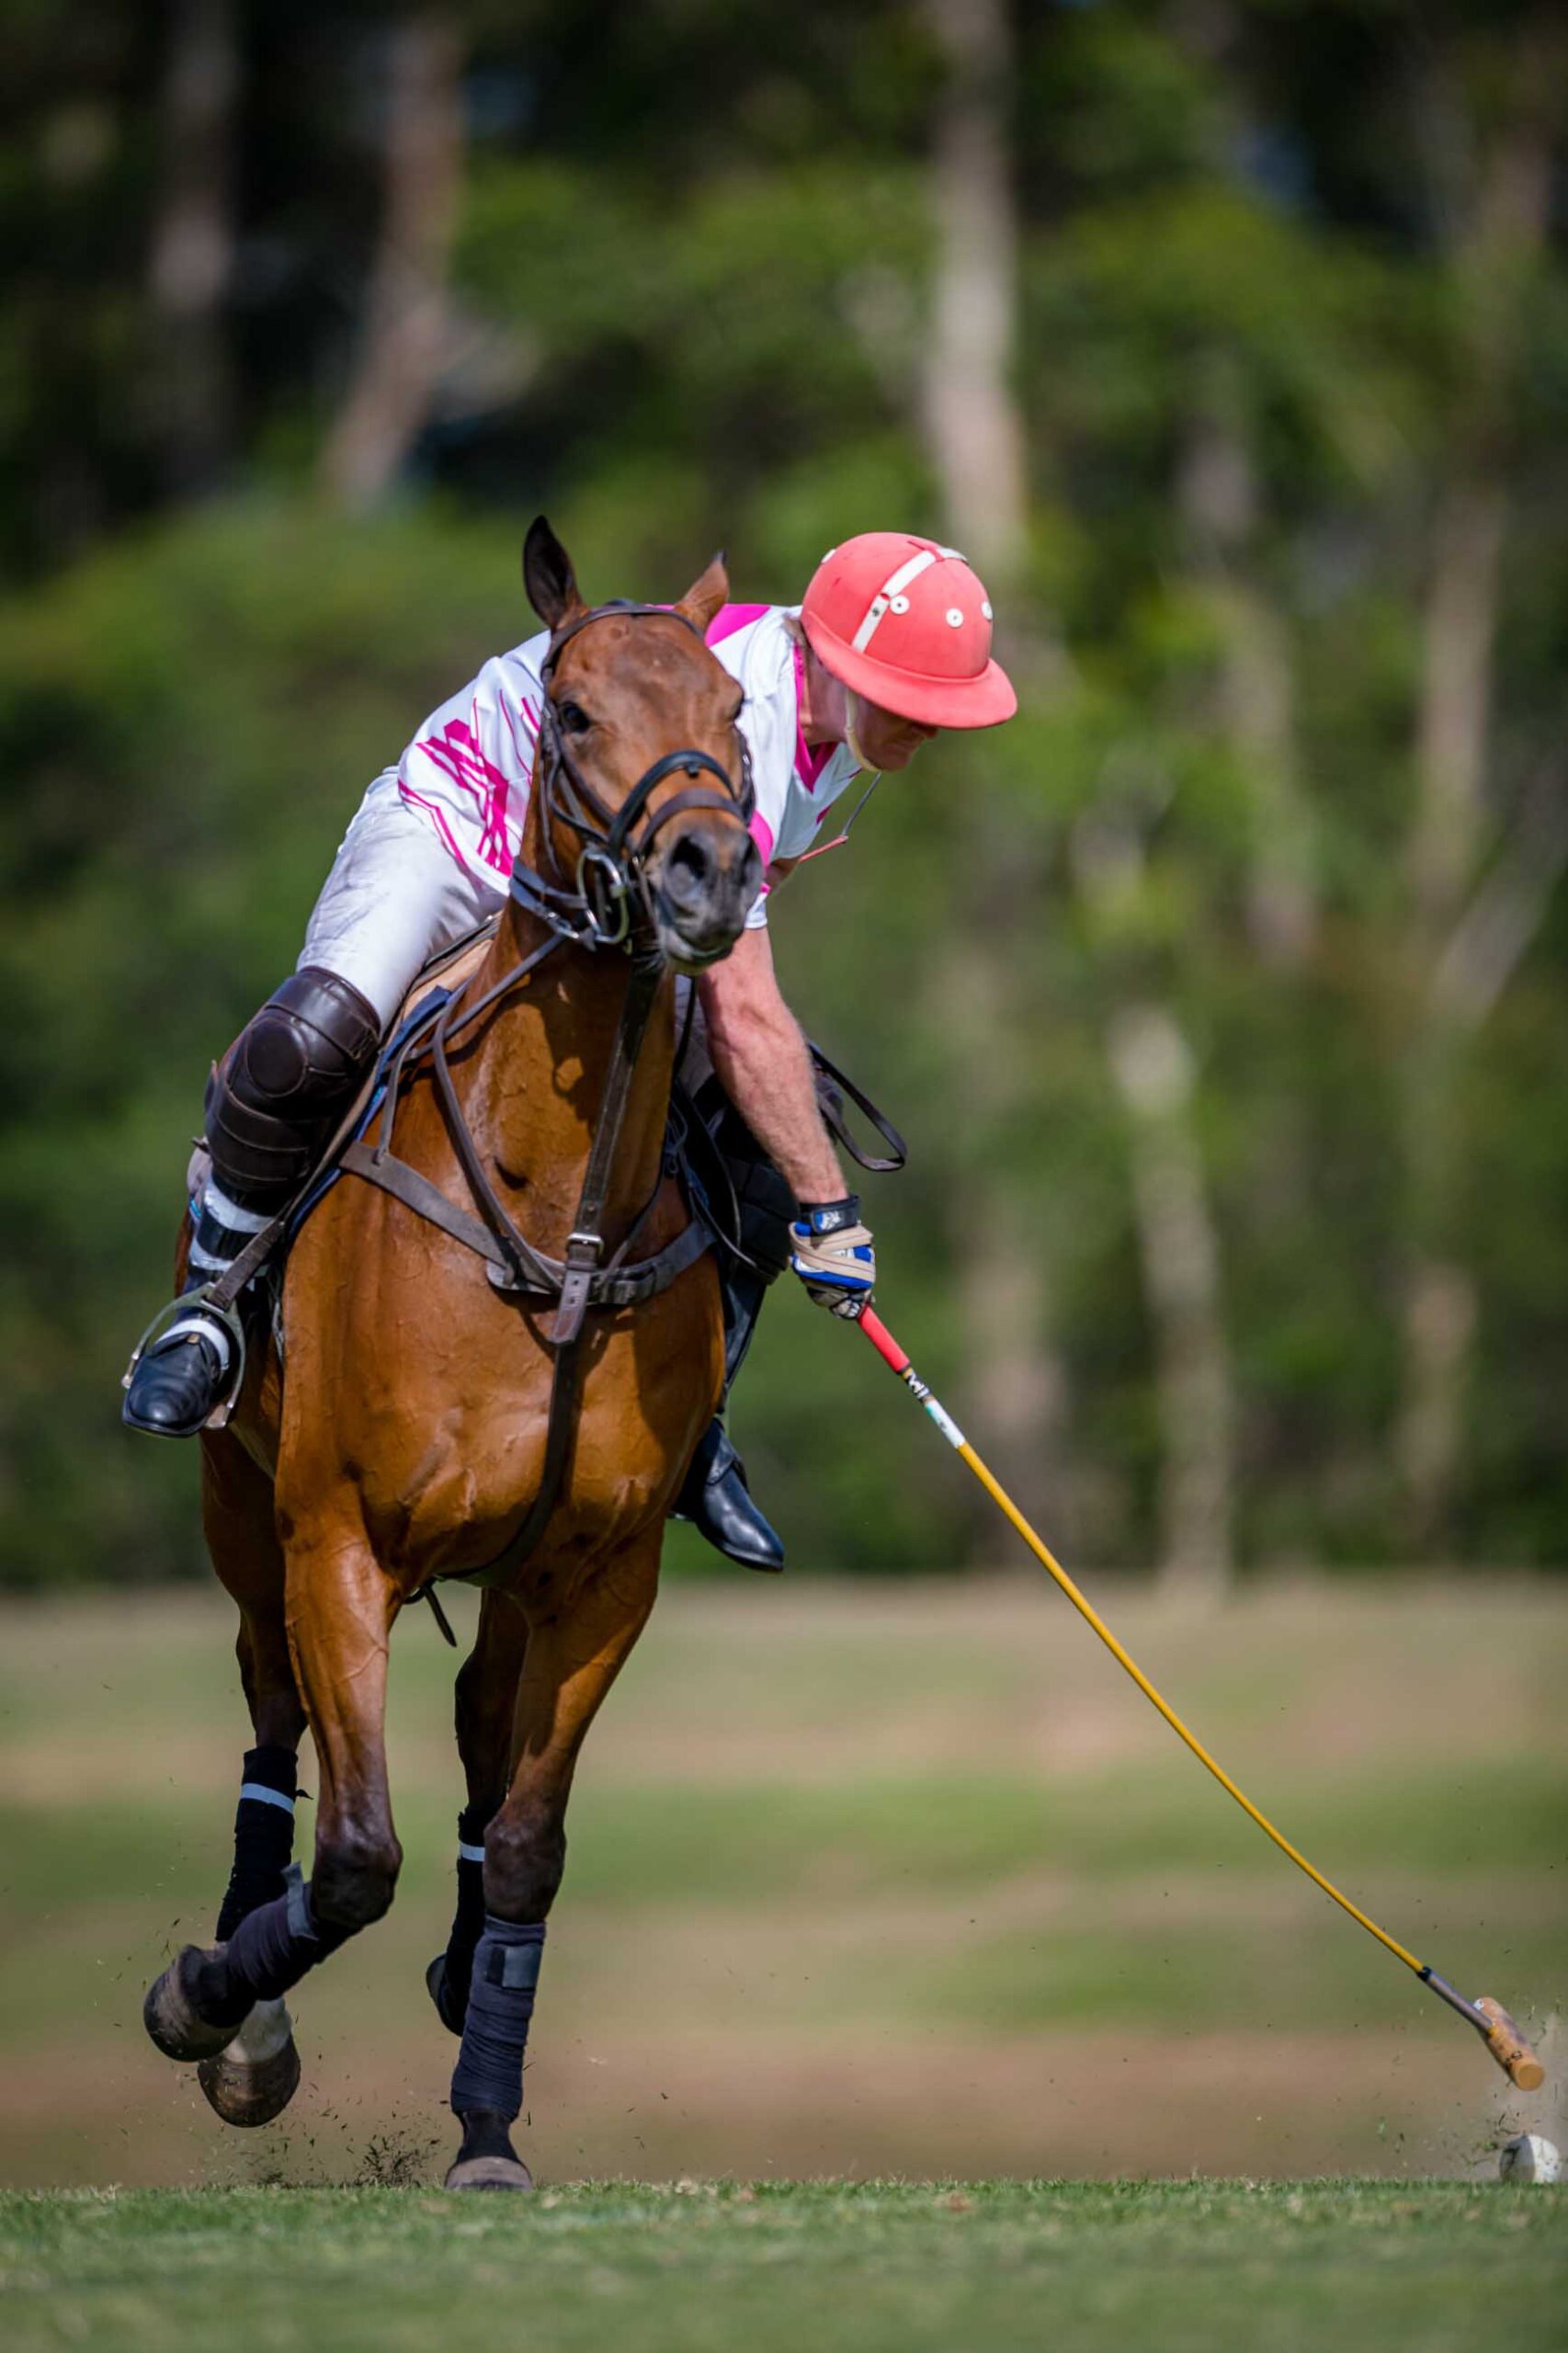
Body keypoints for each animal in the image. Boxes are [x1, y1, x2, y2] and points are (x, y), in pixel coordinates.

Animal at [141, 520, 762, 2190]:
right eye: (573, 714)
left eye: (734, 720)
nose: (708, 868)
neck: (552, 1223)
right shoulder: (335, 1535)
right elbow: (355, 1851)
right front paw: (208, 2003)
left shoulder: (605, 1571)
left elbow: (532, 1845)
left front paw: (487, 2122)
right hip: (243, 1512)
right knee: (270, 1715)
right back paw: (245, 2006)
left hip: (508, 1571)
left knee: (483, 1730)